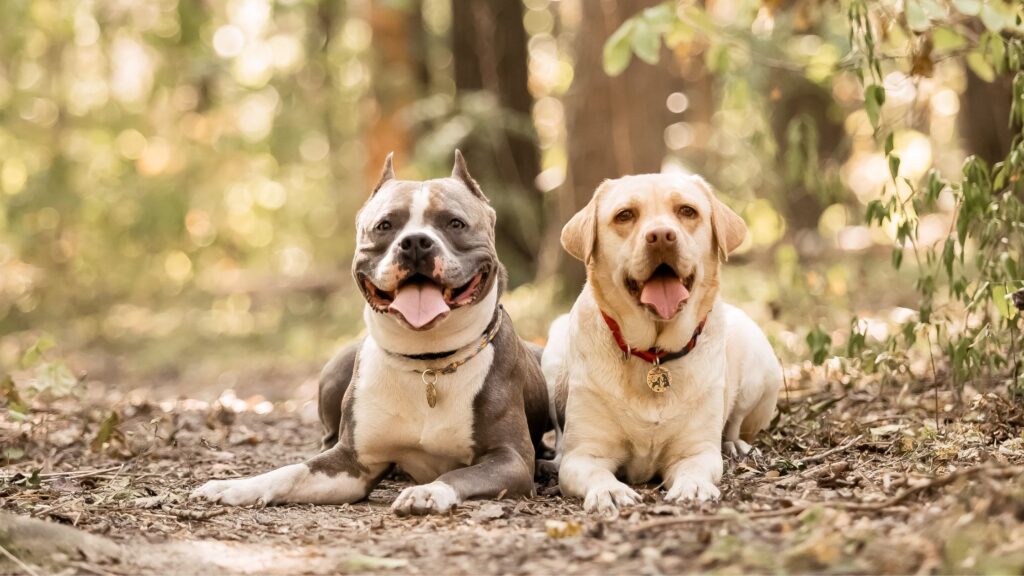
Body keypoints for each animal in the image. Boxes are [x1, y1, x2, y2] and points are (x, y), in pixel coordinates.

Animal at [188, 150, 548, 512]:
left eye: (455, 223)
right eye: (384, 226)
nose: (415, 242)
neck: (428, 361)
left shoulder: (511, 459)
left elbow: (460, 474)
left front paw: (428, 491)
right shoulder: (353, 464)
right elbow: (291, 472)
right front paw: (236, 486)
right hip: (339, 367)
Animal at [548, 172, 778, 512]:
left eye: (687, 211)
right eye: (625, 215)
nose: (661, 236)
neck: (654, 353)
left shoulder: (696, 451)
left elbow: (695, 467)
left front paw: (693, 487)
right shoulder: (584, 455)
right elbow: (595, 472)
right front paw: (609, 491)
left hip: (760, 369)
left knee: (736, 422)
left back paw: (736, 445)